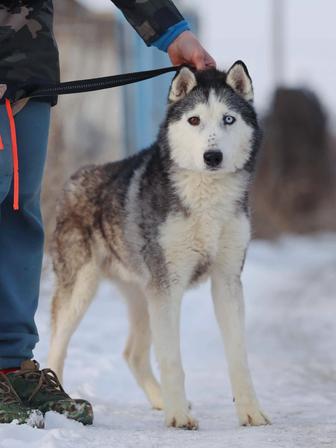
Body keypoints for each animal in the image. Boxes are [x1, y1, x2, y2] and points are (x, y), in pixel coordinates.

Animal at [48, 61, 270, 428]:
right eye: (194, 120)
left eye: (228, 119)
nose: (212, 156)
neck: (205, 202)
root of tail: (75, 177)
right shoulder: (168, 285)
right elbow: (172, 359)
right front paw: (178, 417)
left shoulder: (226, 280)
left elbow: (239, 357)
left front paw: (250, 411)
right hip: (82, 292)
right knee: (56, 346)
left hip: (143, 296)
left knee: (132, 354)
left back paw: (159, 399)